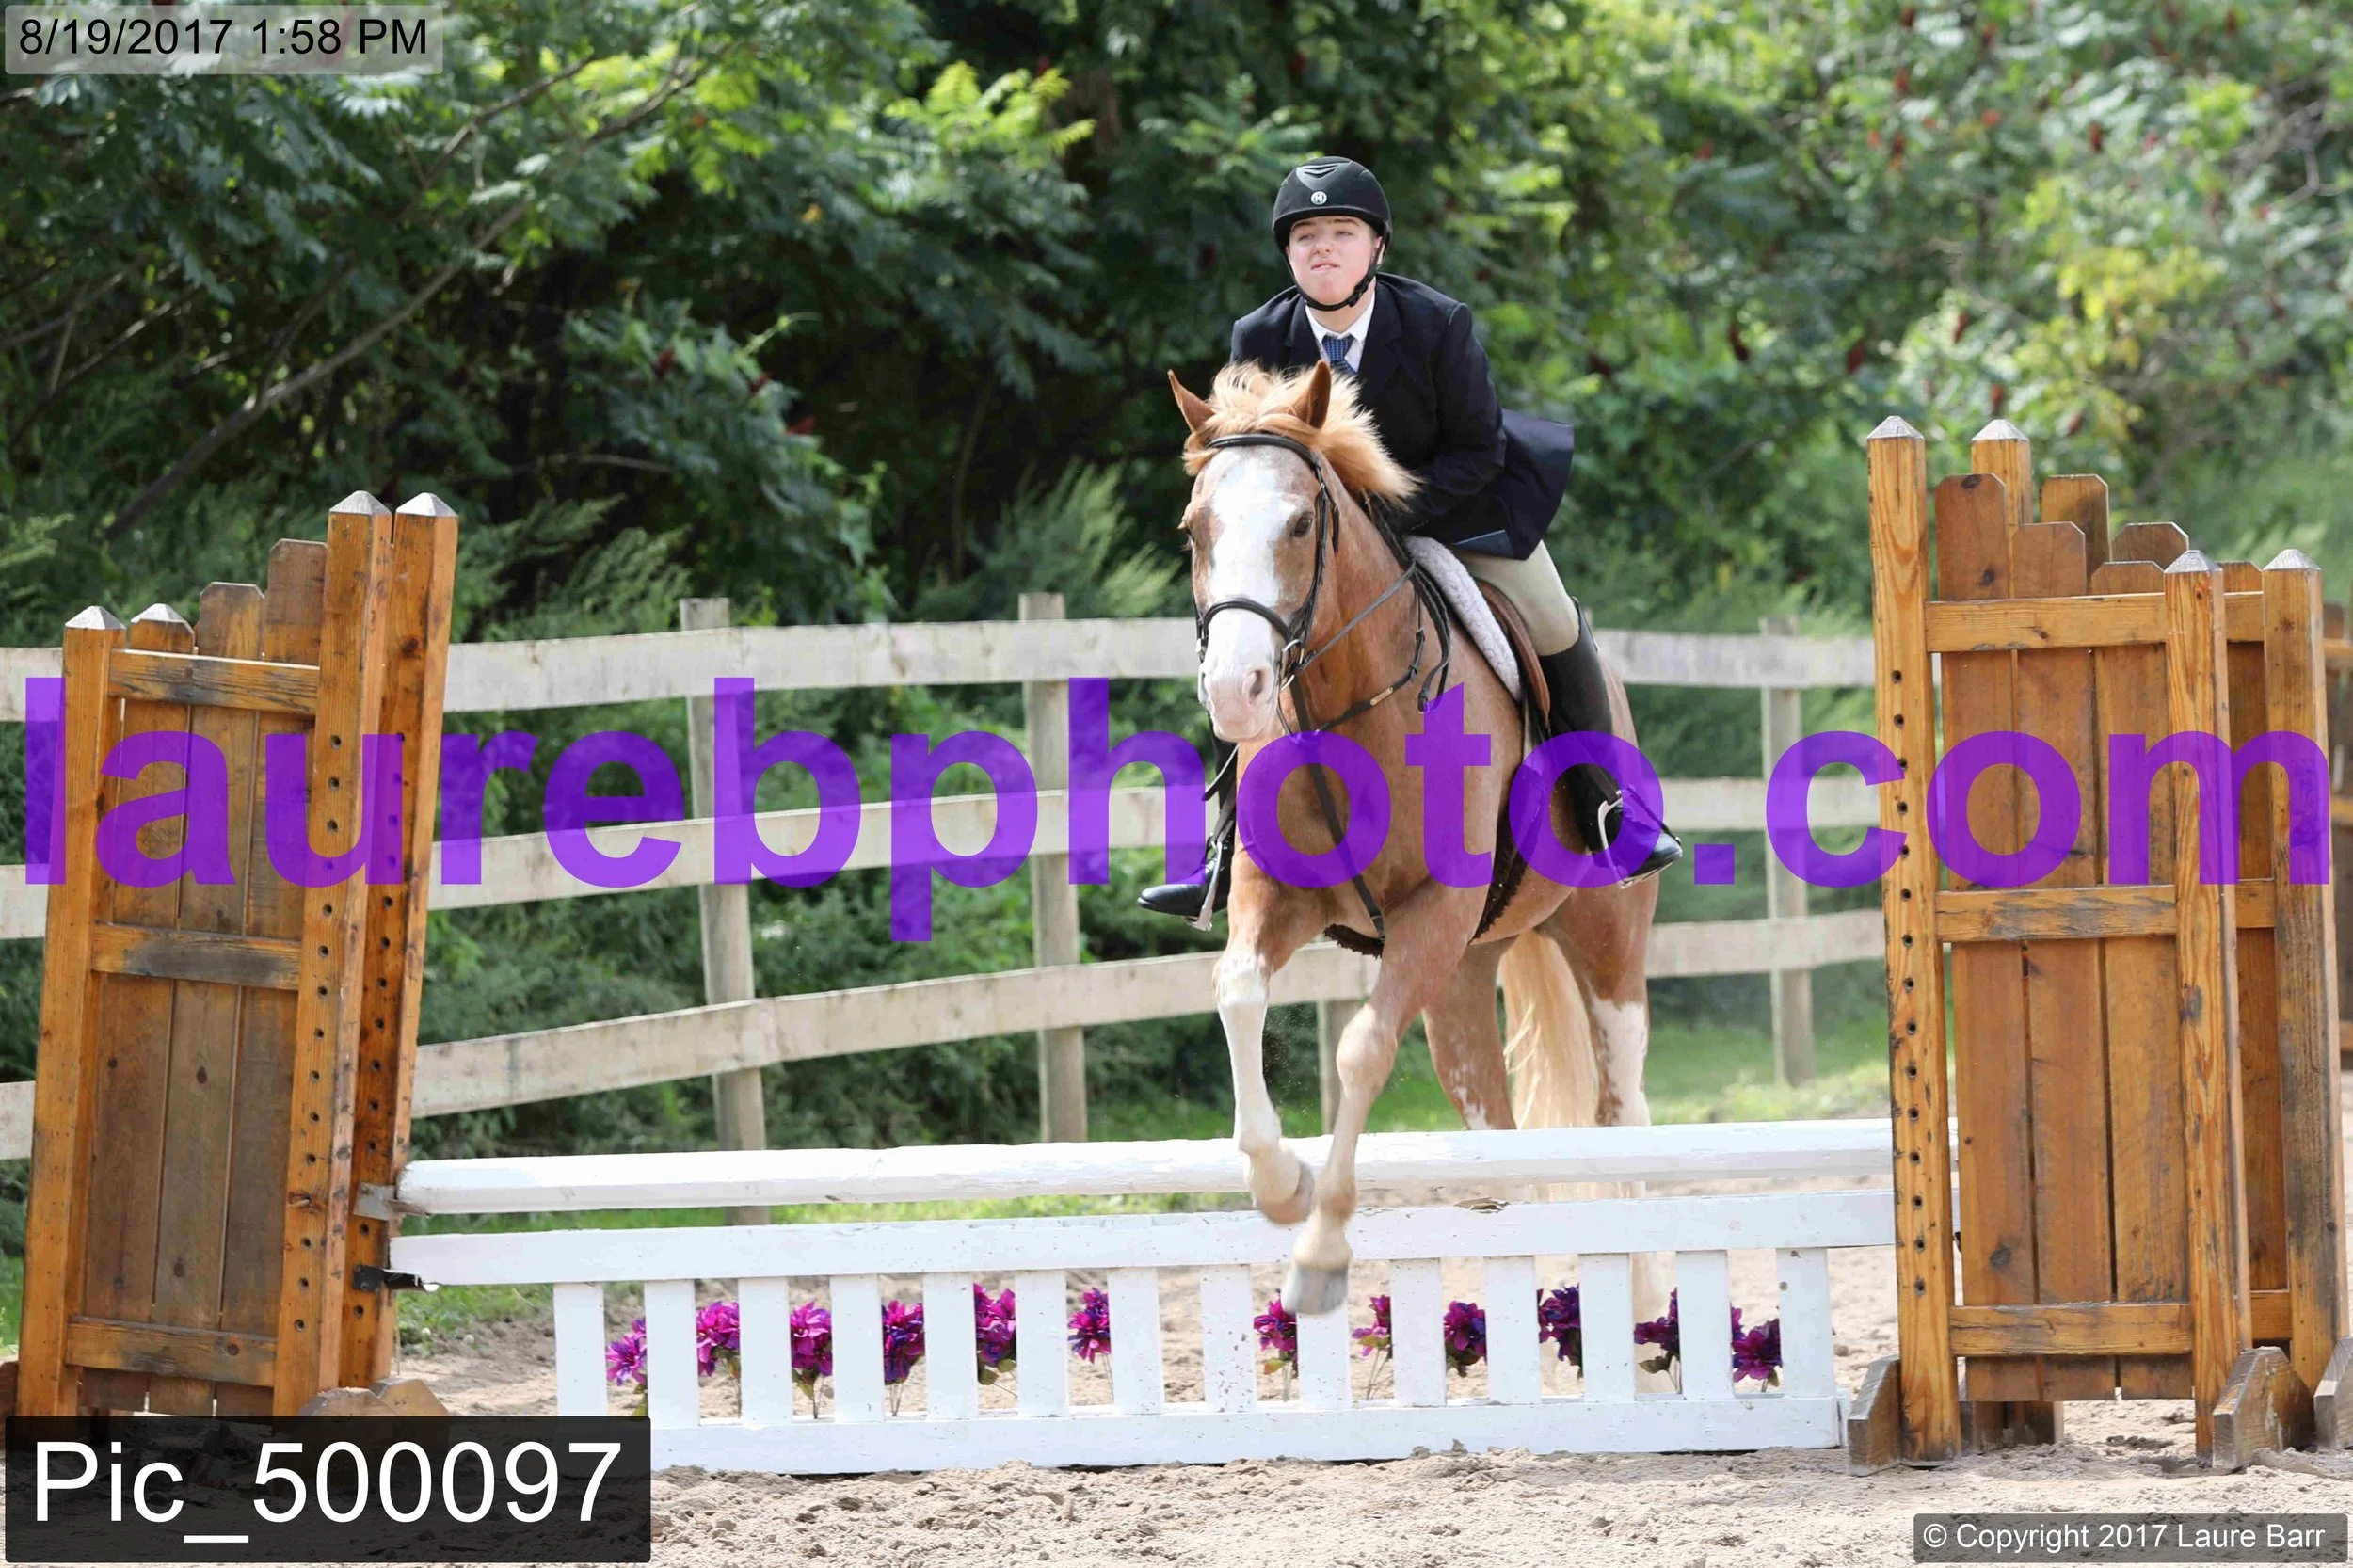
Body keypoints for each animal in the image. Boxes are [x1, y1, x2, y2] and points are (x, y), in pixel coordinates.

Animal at [1169, 357, 1664, 1319]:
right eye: (1194, 528)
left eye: (1300, 523)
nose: (1236, 692)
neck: (1346, 705)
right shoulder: (1279, 899)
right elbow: (1239, 993)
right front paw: (1278, 1184)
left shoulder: (1432, 911)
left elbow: (1361, 1049)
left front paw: (1320, 1255)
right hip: (1465, 975)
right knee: (1501, 1138)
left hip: (1604, 943)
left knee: (1624, 1117)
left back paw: (1649, 1320)